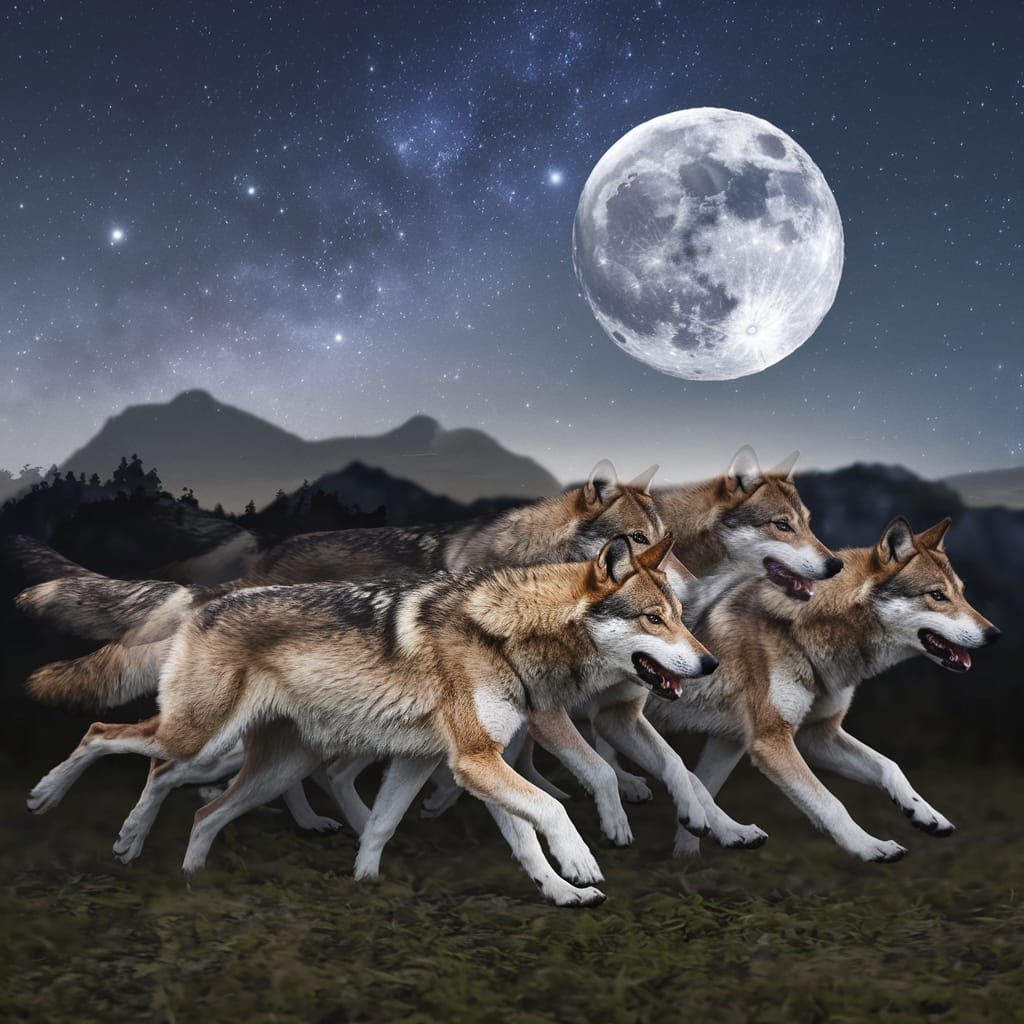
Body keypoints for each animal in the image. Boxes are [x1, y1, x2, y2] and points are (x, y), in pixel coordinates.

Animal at [26, 536, 719, 907]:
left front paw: (561, 894)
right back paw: (59, 802)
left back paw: (186, 872)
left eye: (680, 617)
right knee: (113, 742)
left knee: (199, 808)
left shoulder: (454, 764)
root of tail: (209, 598)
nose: (710, 662)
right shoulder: (474, 762)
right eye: (655, 619)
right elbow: (552, 808)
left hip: (277, 765)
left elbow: (417, 828)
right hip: (200, 739)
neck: (500, 634)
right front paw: (581, 864)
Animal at [647, 516, 1000, 861]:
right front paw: (871, 847)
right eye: (937, 595)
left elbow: (890, 766)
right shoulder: (771, 740)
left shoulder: (811, 734)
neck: (802, 635)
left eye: (962, 593)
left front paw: (925, 814)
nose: (994, 633)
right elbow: (830, 803)